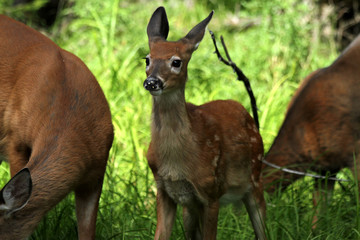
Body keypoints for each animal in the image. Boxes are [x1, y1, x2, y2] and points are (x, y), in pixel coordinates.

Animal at [143, 6, 268, 239]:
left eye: (176, 62)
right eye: (147, 59)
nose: (152, 82)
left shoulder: (211, 192)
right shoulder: (165, 190)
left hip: (255, 179)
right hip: (189, 209)